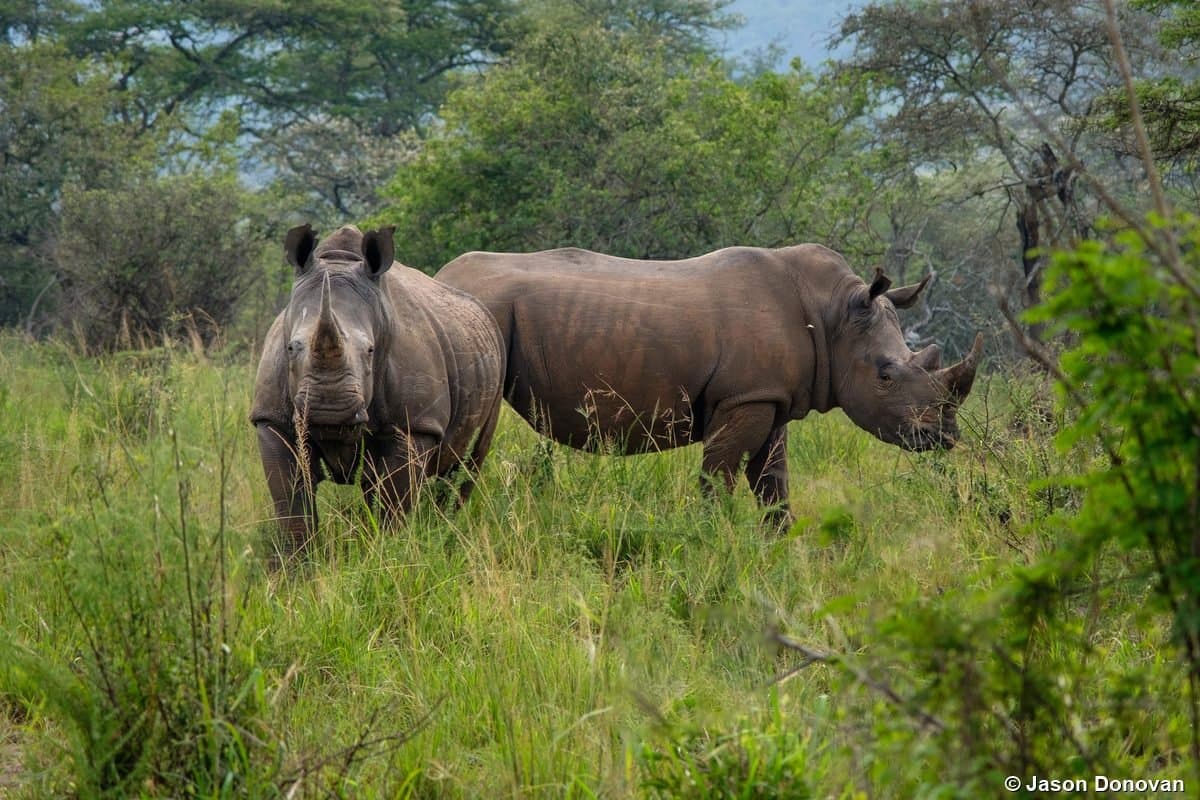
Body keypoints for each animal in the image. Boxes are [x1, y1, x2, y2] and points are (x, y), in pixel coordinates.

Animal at [251, 224, 505, 561]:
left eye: (371, 351)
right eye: (291, 348)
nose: (328, 412)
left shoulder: (413, 426)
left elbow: (391, 505)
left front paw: (387, 555)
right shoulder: (273, 420)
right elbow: (293, 506)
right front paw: (299, 567)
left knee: (464, 468)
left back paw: (443, 534)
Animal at [436, 244, 982, 524]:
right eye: (886, 376)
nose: (944, 436)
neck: (834, 315)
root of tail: (442, 275)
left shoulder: (769, 397)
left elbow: (773, 485)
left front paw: (778, 550)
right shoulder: (743, 398)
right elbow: (718, 478)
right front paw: (709, 540)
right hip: (483, 316)